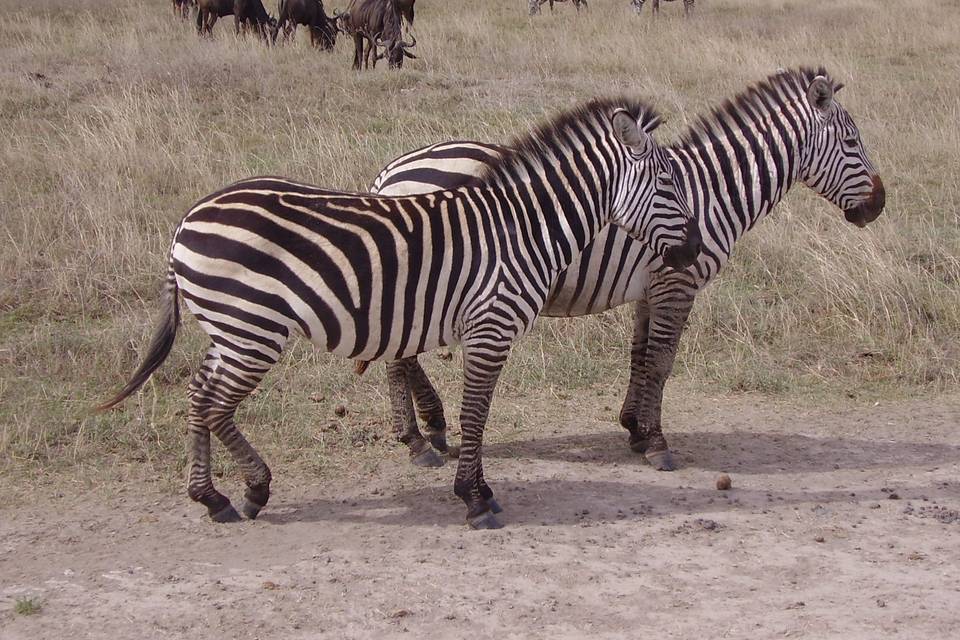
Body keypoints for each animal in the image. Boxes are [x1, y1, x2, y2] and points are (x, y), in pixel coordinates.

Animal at [97, 99, 700, 528]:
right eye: (668, 184)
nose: (695, 250)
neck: (523, 229)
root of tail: (186, 219)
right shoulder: (491, 324)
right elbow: (476, 412)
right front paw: (474, 496)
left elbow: (477, 411)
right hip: (251, 328)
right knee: (215, 403)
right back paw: (250, 489)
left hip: (231, 330)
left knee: (199, 397)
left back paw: (213, 496)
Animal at [368, 67, 884, 472]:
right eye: (852, 141)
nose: (879, 206)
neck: (712, 192)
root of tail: (390, 172)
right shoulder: (678, 283)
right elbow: (663, 360)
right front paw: (656, 442)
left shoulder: (650, 287)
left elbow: (640, 356)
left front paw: (634, 429)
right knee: (399, 355)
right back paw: (417, 440)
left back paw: (427, 429)